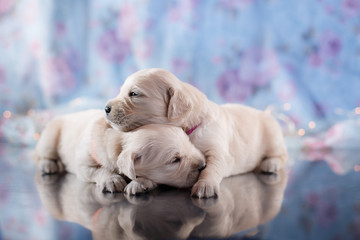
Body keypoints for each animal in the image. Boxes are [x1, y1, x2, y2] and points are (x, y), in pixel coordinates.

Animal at [36, 109, 207, 195]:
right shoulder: (83, 164)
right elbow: (97, 170)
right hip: (50, 134)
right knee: (44, 154)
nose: (204, 165)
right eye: (174, 160)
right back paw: (48, 165)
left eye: (189, 142)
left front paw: (139, 184)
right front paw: (112, 180)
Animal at [105, 68, 288, 198]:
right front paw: (140, 182)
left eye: (134, 94)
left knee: (281, 156)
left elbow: (212, 166)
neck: (191, 126)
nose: (106, 108)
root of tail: (266, 113)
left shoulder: (218, 150)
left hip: (273, 136)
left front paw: (205, 185)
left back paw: (270, 164)